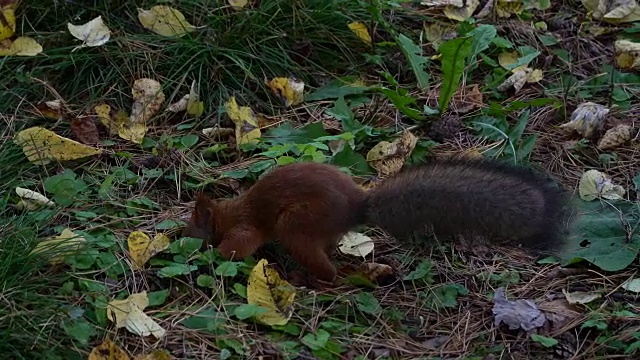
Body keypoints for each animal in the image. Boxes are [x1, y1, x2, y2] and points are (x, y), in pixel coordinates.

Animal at [182, 160, 568, 282]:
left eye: (192, 227)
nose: (182, 240)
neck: (230, 211)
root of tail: (356, 207)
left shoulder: (247, 228)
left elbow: (237, 248)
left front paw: (211, 257)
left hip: (296, 225)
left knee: (330, 272)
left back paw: (310, 280)